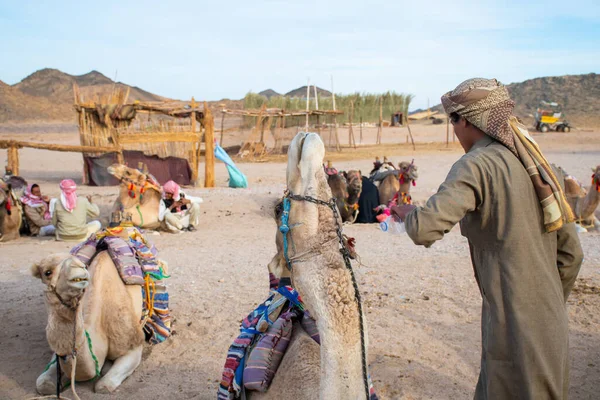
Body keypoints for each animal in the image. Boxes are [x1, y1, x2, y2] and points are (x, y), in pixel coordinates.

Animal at [32, 253, 145, 394]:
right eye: (47, 272)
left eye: (83, 264)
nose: (78, 266)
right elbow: (43, 384)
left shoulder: (132, 343)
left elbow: (103, 386)